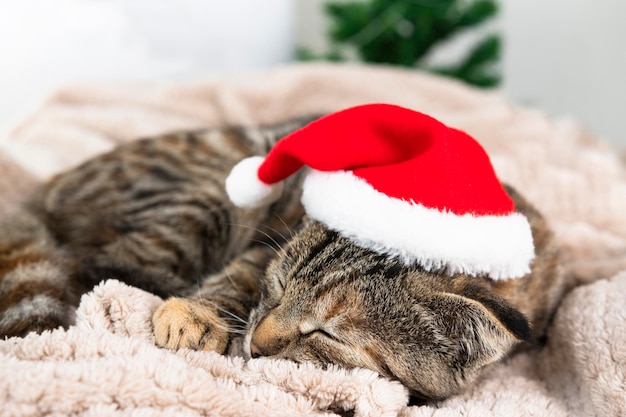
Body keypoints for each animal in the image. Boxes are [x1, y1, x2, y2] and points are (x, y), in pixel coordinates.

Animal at [0, 115, 564, 402]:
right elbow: (234, 276)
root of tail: (43, 192)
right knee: (108, 269)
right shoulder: (258, 250)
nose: (257, 344)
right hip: (207, 195)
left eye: (327, 333)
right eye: (277, 287)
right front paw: (197, 315)